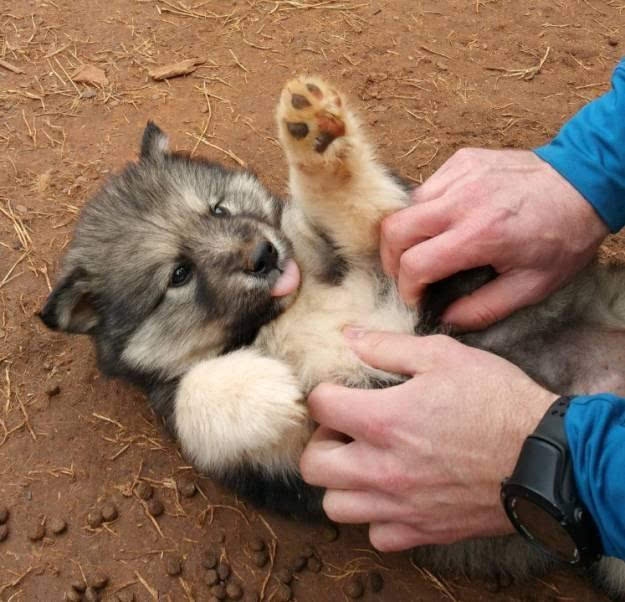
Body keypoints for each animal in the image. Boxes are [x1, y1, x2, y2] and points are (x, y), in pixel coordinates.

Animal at [41, 76, 624, 596]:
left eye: (218, 208)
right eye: (179, 275)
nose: (263, 255)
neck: (284, 314)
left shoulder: (393, 263)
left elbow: (351, 210)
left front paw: (317, 141)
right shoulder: (298, 451)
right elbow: (195, 394)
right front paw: (266, 387)